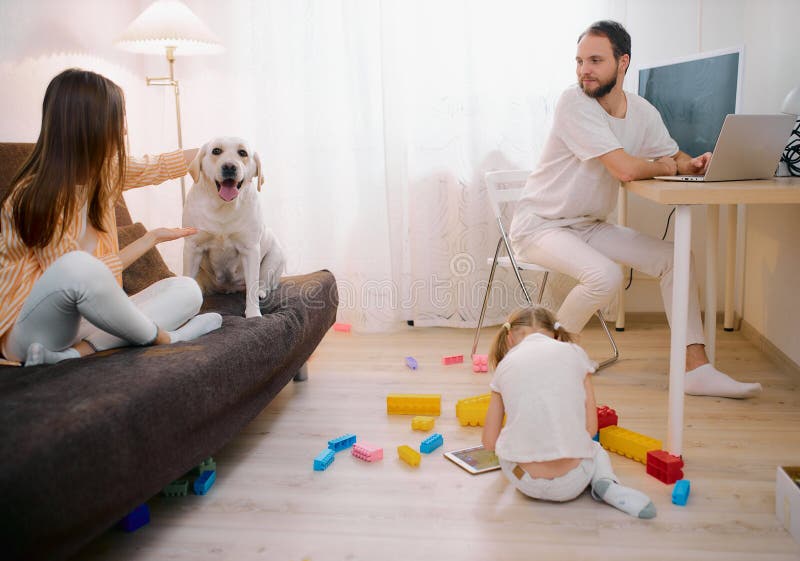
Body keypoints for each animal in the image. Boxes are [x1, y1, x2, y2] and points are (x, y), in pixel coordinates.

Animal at [181, 137, 284, 318]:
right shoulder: (192, 247)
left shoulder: (250, 250)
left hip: (274, 257)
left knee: (263, 283)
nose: (229, 166)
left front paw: (253, 314)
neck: (223, 206)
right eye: (216, 151)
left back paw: (261, 291)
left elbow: (252, 287)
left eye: (242, 153)